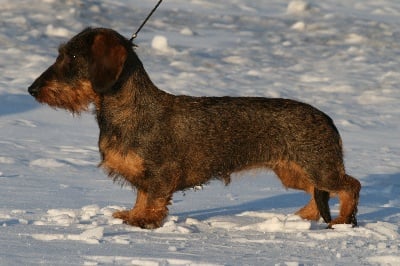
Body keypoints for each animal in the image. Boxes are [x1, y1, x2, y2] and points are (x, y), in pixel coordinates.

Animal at [27, 27, 360, 229]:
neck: (128, 109)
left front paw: (144, 221)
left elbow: (154, 199)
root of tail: (328, 119)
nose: (32, 89)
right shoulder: (144, 176)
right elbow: (141, 196)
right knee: (319, 194)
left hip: (319, 168)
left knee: (350, 186)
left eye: (71, 56)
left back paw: (343, 220)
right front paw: (133, 215)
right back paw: (302, 217)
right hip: (294, 172)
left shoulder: (162, 173)